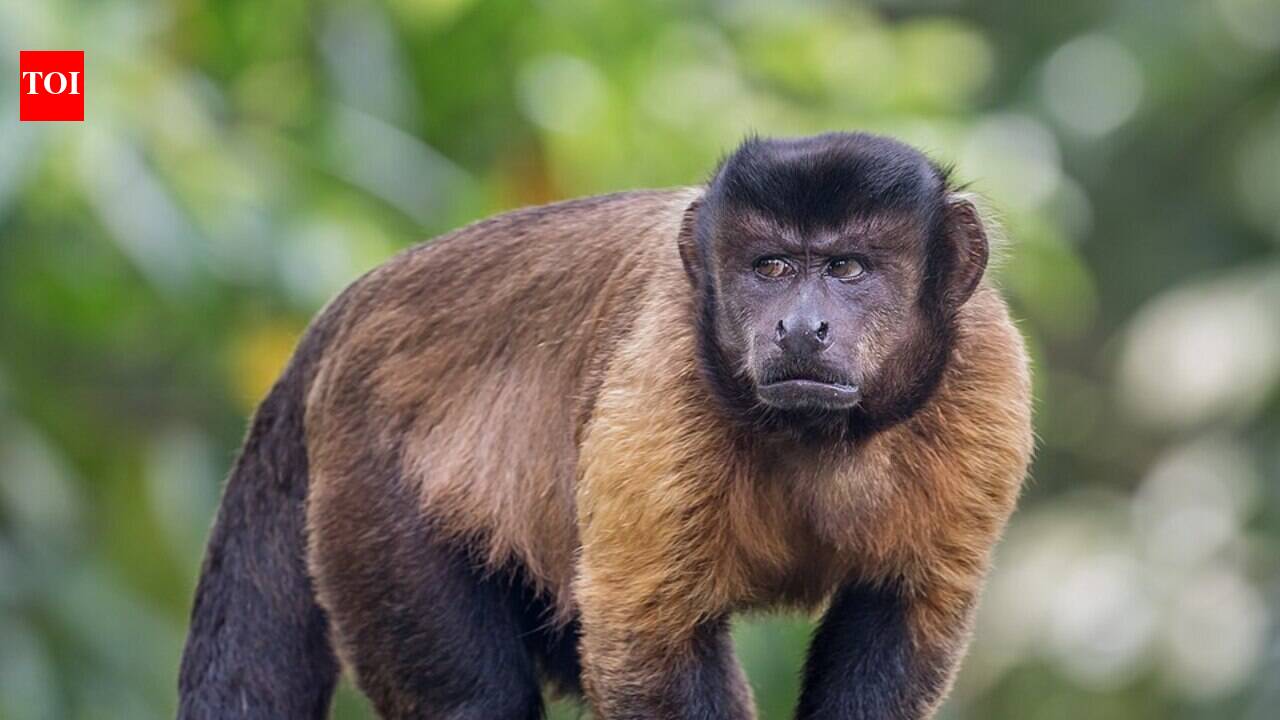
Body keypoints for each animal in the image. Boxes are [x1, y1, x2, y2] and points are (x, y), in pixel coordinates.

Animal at [177, 132, 1033, 720]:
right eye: (772, 268)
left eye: (848, 268)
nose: (798, 325)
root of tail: (351, 309)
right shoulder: (661, 381)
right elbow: (646, 649)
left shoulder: (988, 380)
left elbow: (901, 618)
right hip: (368, 473)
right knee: (476, 697)